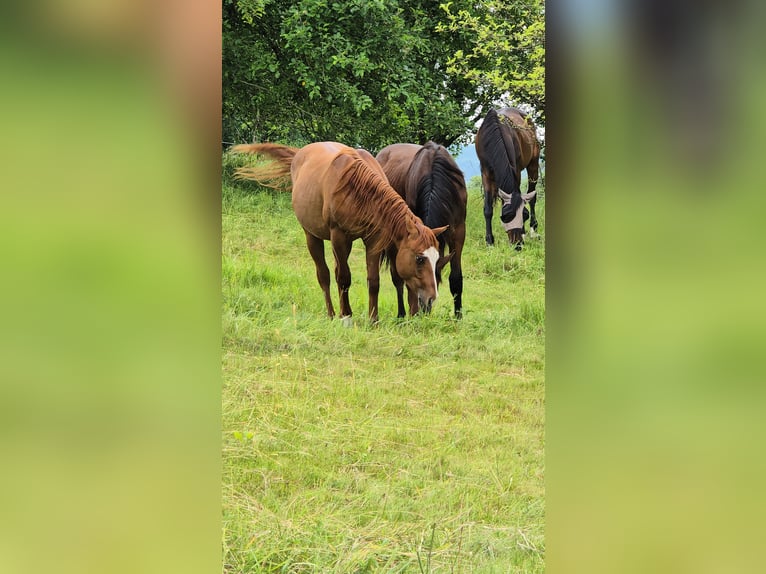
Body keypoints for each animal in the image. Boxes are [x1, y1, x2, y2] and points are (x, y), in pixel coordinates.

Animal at [231, 141, 450, 323]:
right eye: (420, 258)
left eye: (437, 259)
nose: (432, 298)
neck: (358, 190)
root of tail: (299, 154)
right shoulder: (339, 236)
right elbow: (344, 278)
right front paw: (346, 317)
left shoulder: (373, 239)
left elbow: (373, 281)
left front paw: (373, 320)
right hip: (313, 236)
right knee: (325, 275)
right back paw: (331, 314)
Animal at [376, 142, 466, 318]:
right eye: (420, 262)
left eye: (436, 277)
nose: (426, 306)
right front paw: (413, 313)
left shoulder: (459, 232)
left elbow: (455, 278)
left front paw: (458, 316)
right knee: (397, 278)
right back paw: (401, 314)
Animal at [475, 107, 541, 250]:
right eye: (505, 217)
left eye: (524, 216)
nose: (517, 245)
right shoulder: (485, 173)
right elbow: (488, 209)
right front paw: (490, 242)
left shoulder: (516, 170)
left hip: (533, 164)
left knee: (532, 196)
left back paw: (533, 230)